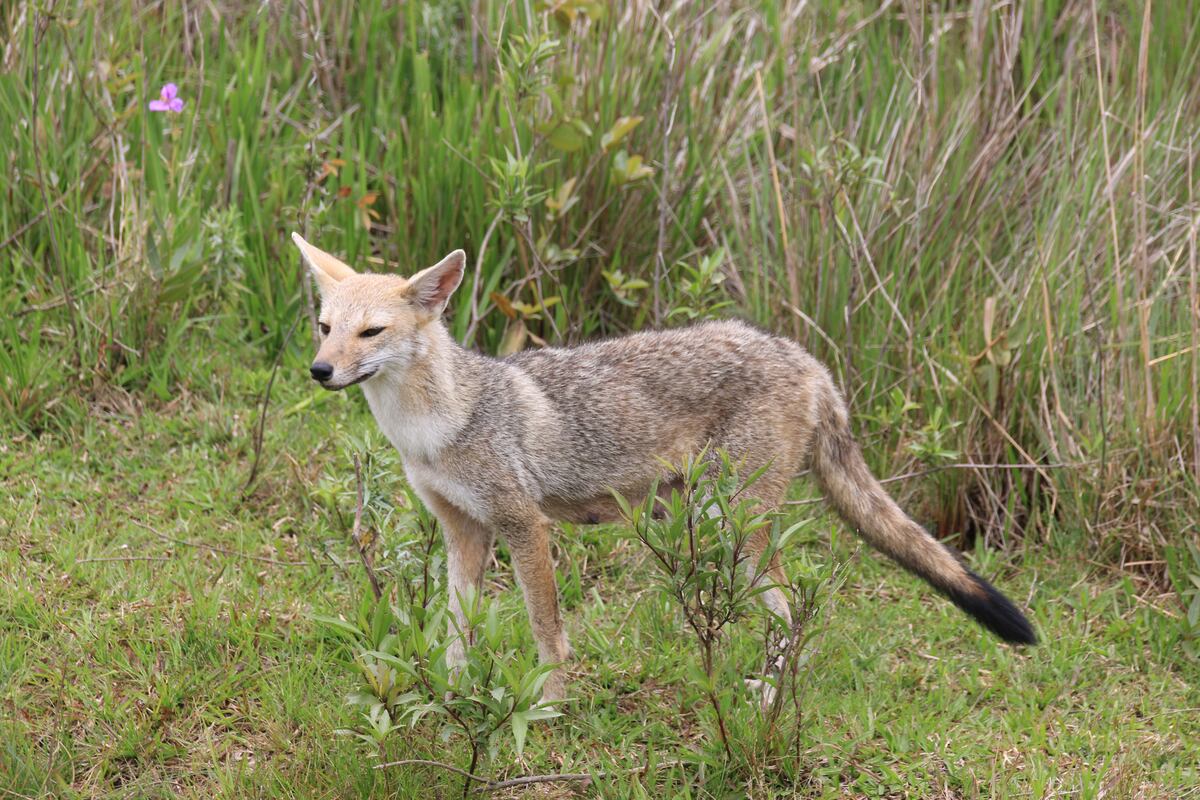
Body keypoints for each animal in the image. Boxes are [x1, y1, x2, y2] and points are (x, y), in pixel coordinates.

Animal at [291, 233, 1036, 702]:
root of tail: (806, 358)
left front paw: (546, 710)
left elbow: (547, 633)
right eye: (325, 328)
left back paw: (769, 700)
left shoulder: (524, 526)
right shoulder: (463, 532)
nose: (320, 371)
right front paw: (447, 702)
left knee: (792, 616)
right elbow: (455, 635)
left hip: (735, 529)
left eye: (371, 333)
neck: (436, 425)